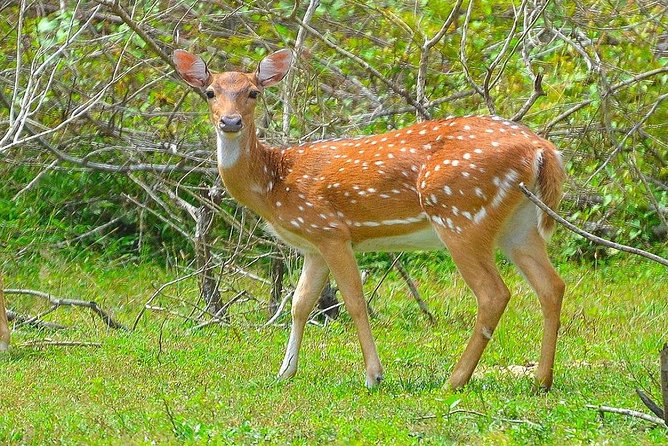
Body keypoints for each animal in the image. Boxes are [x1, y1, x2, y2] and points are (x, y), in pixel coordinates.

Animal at [175, 48, 568, 390]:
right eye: (210, 93)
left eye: (253, 92)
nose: (230, 121)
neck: (275, 184)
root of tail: (543, 149)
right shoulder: (313, 244)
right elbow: (300, 304)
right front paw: (284, 372)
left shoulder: (331, 231)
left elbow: (353, 301)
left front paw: (374, 376)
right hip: (518, 224)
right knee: (552, 285)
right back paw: (541, 380)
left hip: (460, 214)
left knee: (493, 293)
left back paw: (455, 380)